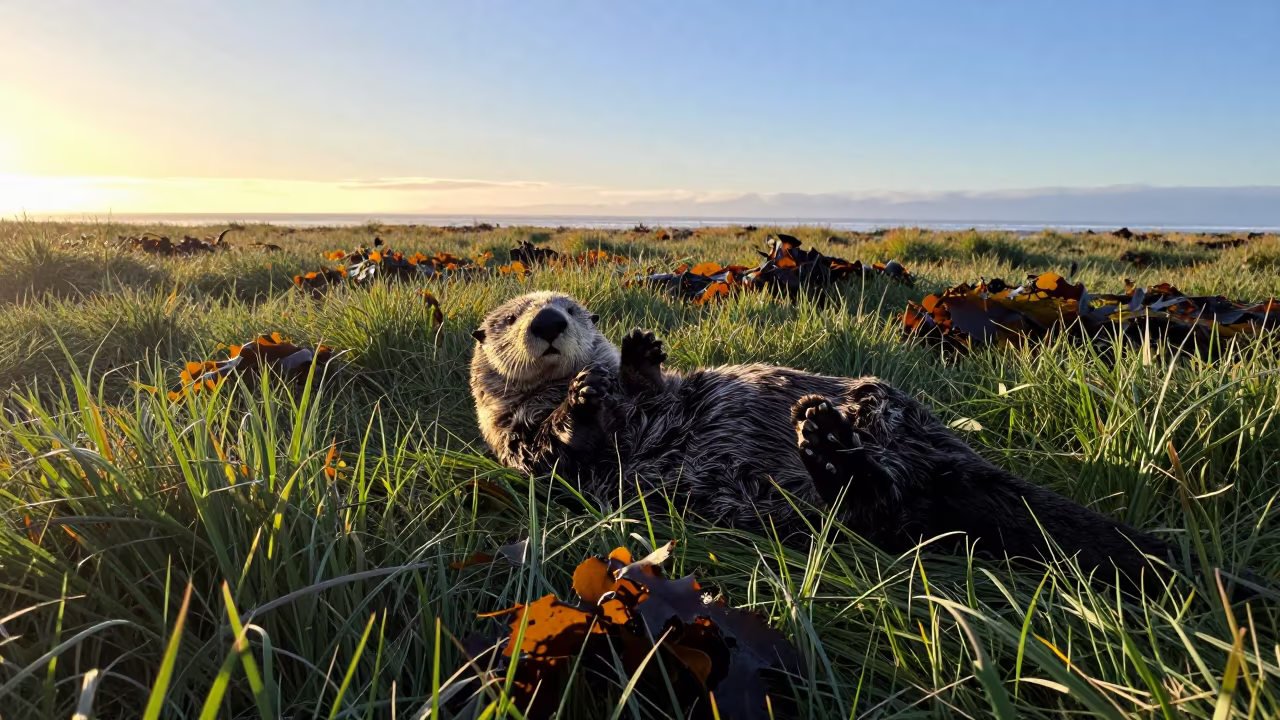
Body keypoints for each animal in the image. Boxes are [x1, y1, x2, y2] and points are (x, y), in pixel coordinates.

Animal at [469, 291, 1246, 597]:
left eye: (574, 309)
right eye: (507, 317)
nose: (545, 320)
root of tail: (948, 461)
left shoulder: (649, 397)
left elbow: (647, 384)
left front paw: (634, 353)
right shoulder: (528, 456)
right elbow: (560, 455)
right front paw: (579, 410)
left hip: (891, 411)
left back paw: (828, 430)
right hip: (882, 511)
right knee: (882, 514)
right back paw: (825, 448)